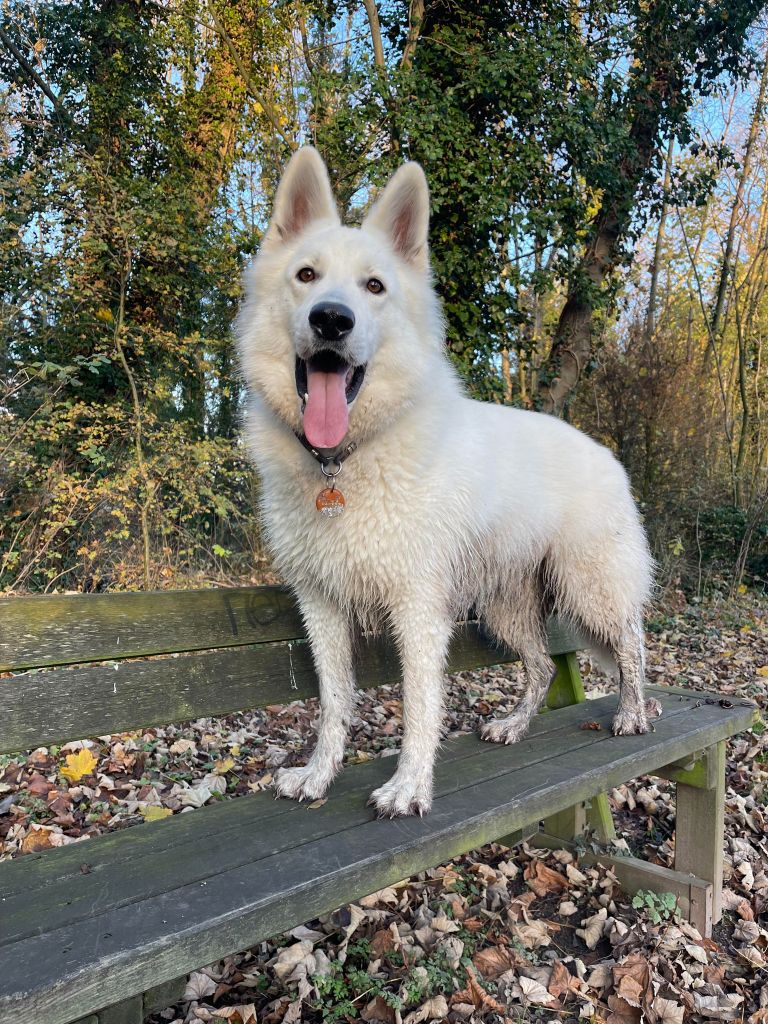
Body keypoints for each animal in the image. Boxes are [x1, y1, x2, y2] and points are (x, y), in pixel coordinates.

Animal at [237, 146, 651, 815]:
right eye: (306, 275)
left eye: (374, 286)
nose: (331, 320)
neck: (343, 463)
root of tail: (606, 454)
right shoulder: (322, 609)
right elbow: (333, 703)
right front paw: (319, 776)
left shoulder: (418, 611)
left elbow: (419, 705)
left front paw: (409, 787)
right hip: (506, 609)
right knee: (542, 666)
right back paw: (515, 726)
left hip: (591, 590)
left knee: (633, 645)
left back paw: (633, 714)